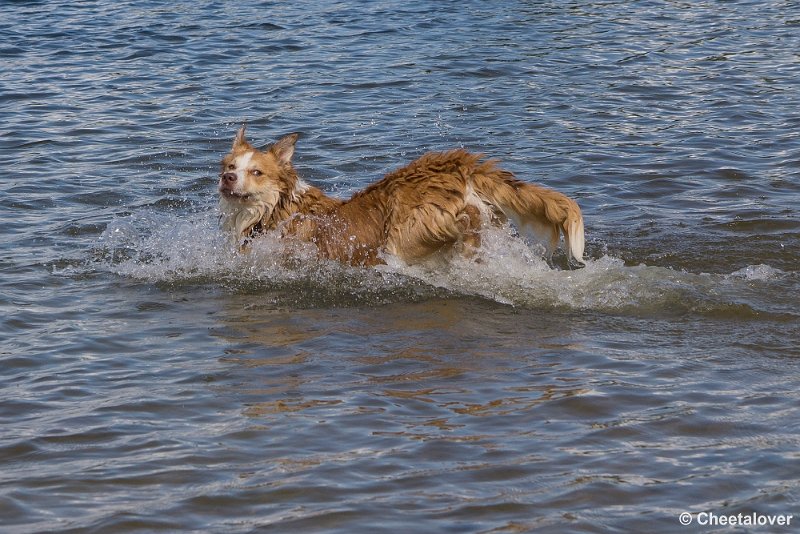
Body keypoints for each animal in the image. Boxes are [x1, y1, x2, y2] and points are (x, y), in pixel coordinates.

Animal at [220, 126, 588, 268]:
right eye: (230, 166)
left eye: (257, 172)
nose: (227, 178)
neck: (276, 208)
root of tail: (457, 162)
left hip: (406, 232)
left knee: (464, 221)